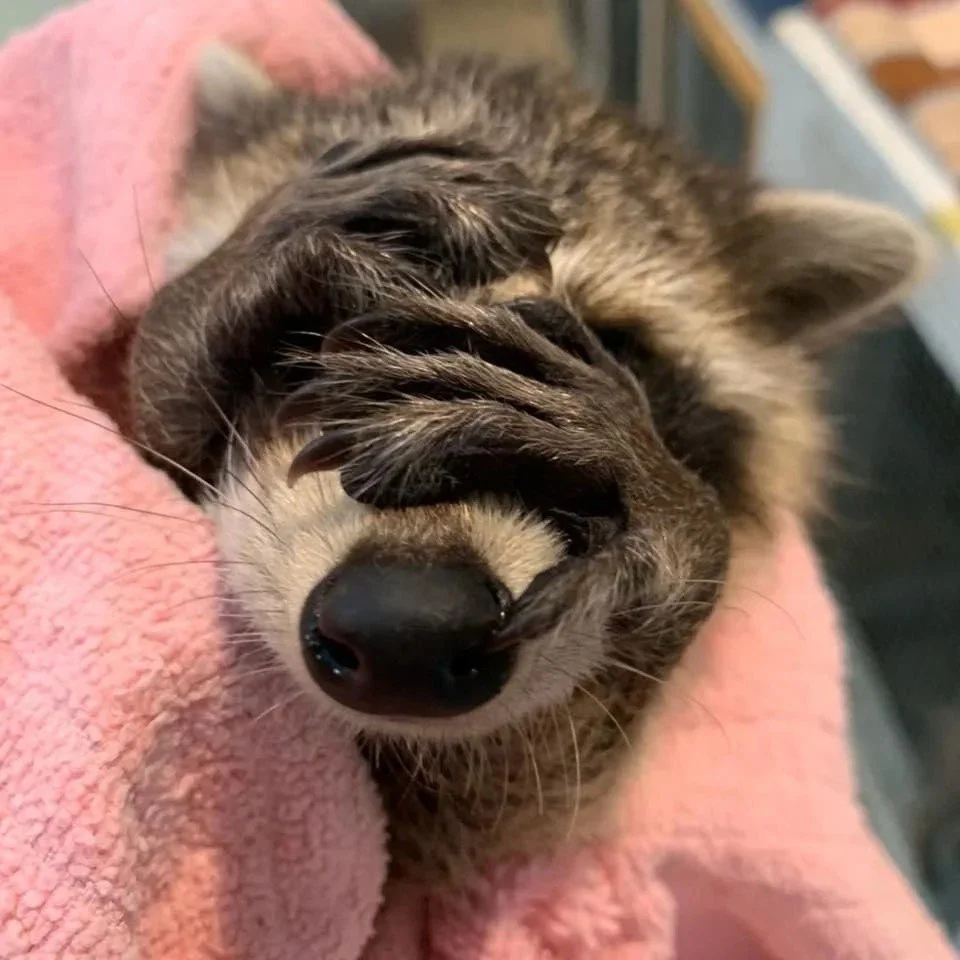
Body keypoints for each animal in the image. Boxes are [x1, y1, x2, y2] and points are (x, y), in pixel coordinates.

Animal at [130, 45, 932, 884]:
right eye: (309, 325)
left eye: (608, 348)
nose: (409, 623)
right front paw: (200, 309)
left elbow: (519, 801)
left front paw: (670, 531)